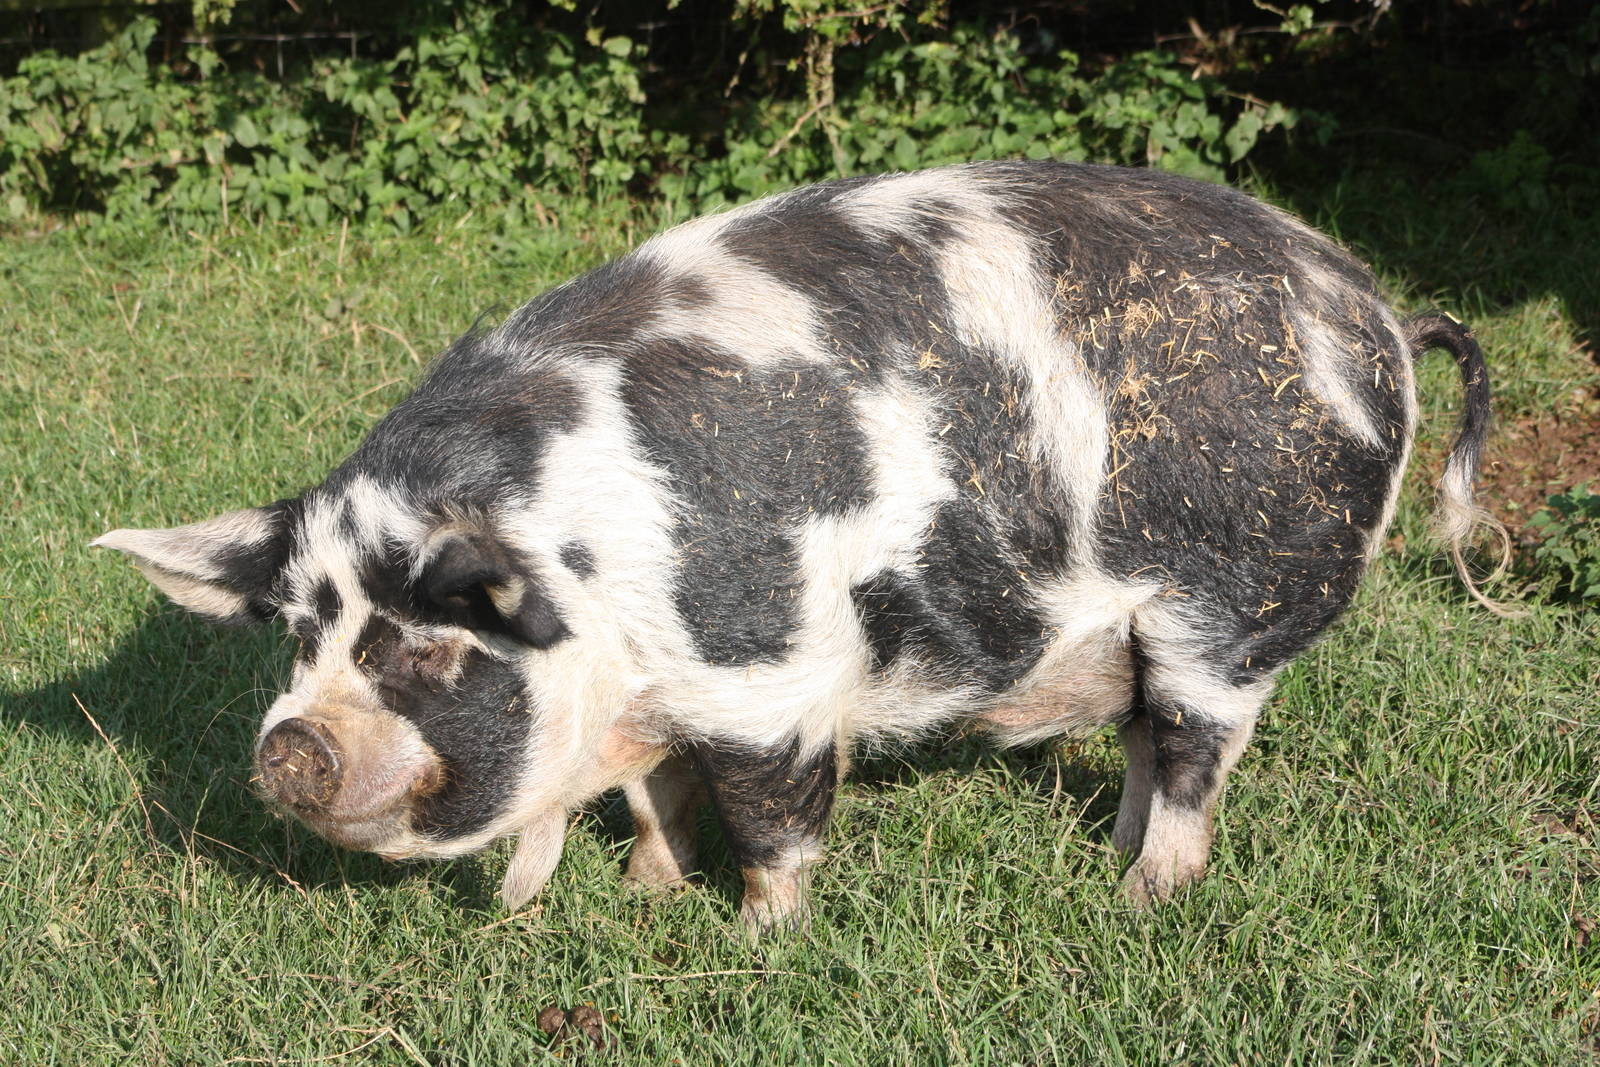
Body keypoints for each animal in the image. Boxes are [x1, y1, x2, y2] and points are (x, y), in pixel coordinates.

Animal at [94, 161, 1502, 932]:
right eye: (300, 634)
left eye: (428, 644)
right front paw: (650, 894)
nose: (292, 744)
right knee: (1149, 742)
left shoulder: (769, 666)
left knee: (1198, 756)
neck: (593, 579)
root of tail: (1380, 311)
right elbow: (656, 796)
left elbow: (769, 813)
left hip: (1234, 604)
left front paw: (757, 935)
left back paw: (1142, 900)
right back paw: (1102, 864)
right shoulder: (659, 693)